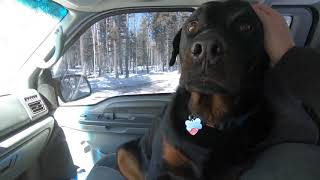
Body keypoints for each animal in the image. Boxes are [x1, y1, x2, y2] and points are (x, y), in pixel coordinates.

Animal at [116, 0, 272, 179]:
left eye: (245, 27)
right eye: (192, 26)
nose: (207, 47)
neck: (210, 117)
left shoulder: (231, 169)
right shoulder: (160, 165)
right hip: (123, 152)